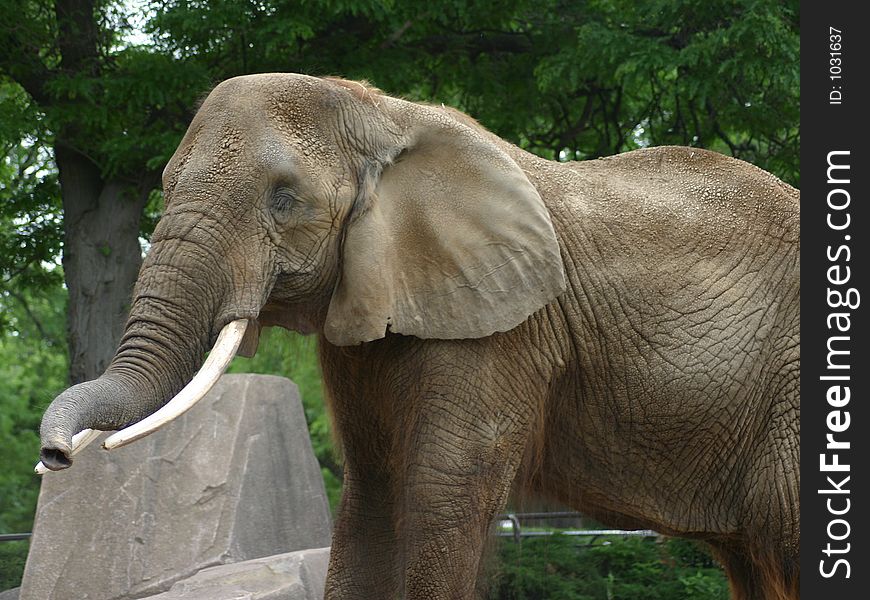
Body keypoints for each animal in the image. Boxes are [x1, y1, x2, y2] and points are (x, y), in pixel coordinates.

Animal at [41, 74, 804, 600]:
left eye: (284, 198)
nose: (55, 455)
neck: (381, 113)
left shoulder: (503, 324)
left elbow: (440, 494)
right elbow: (372, 499)